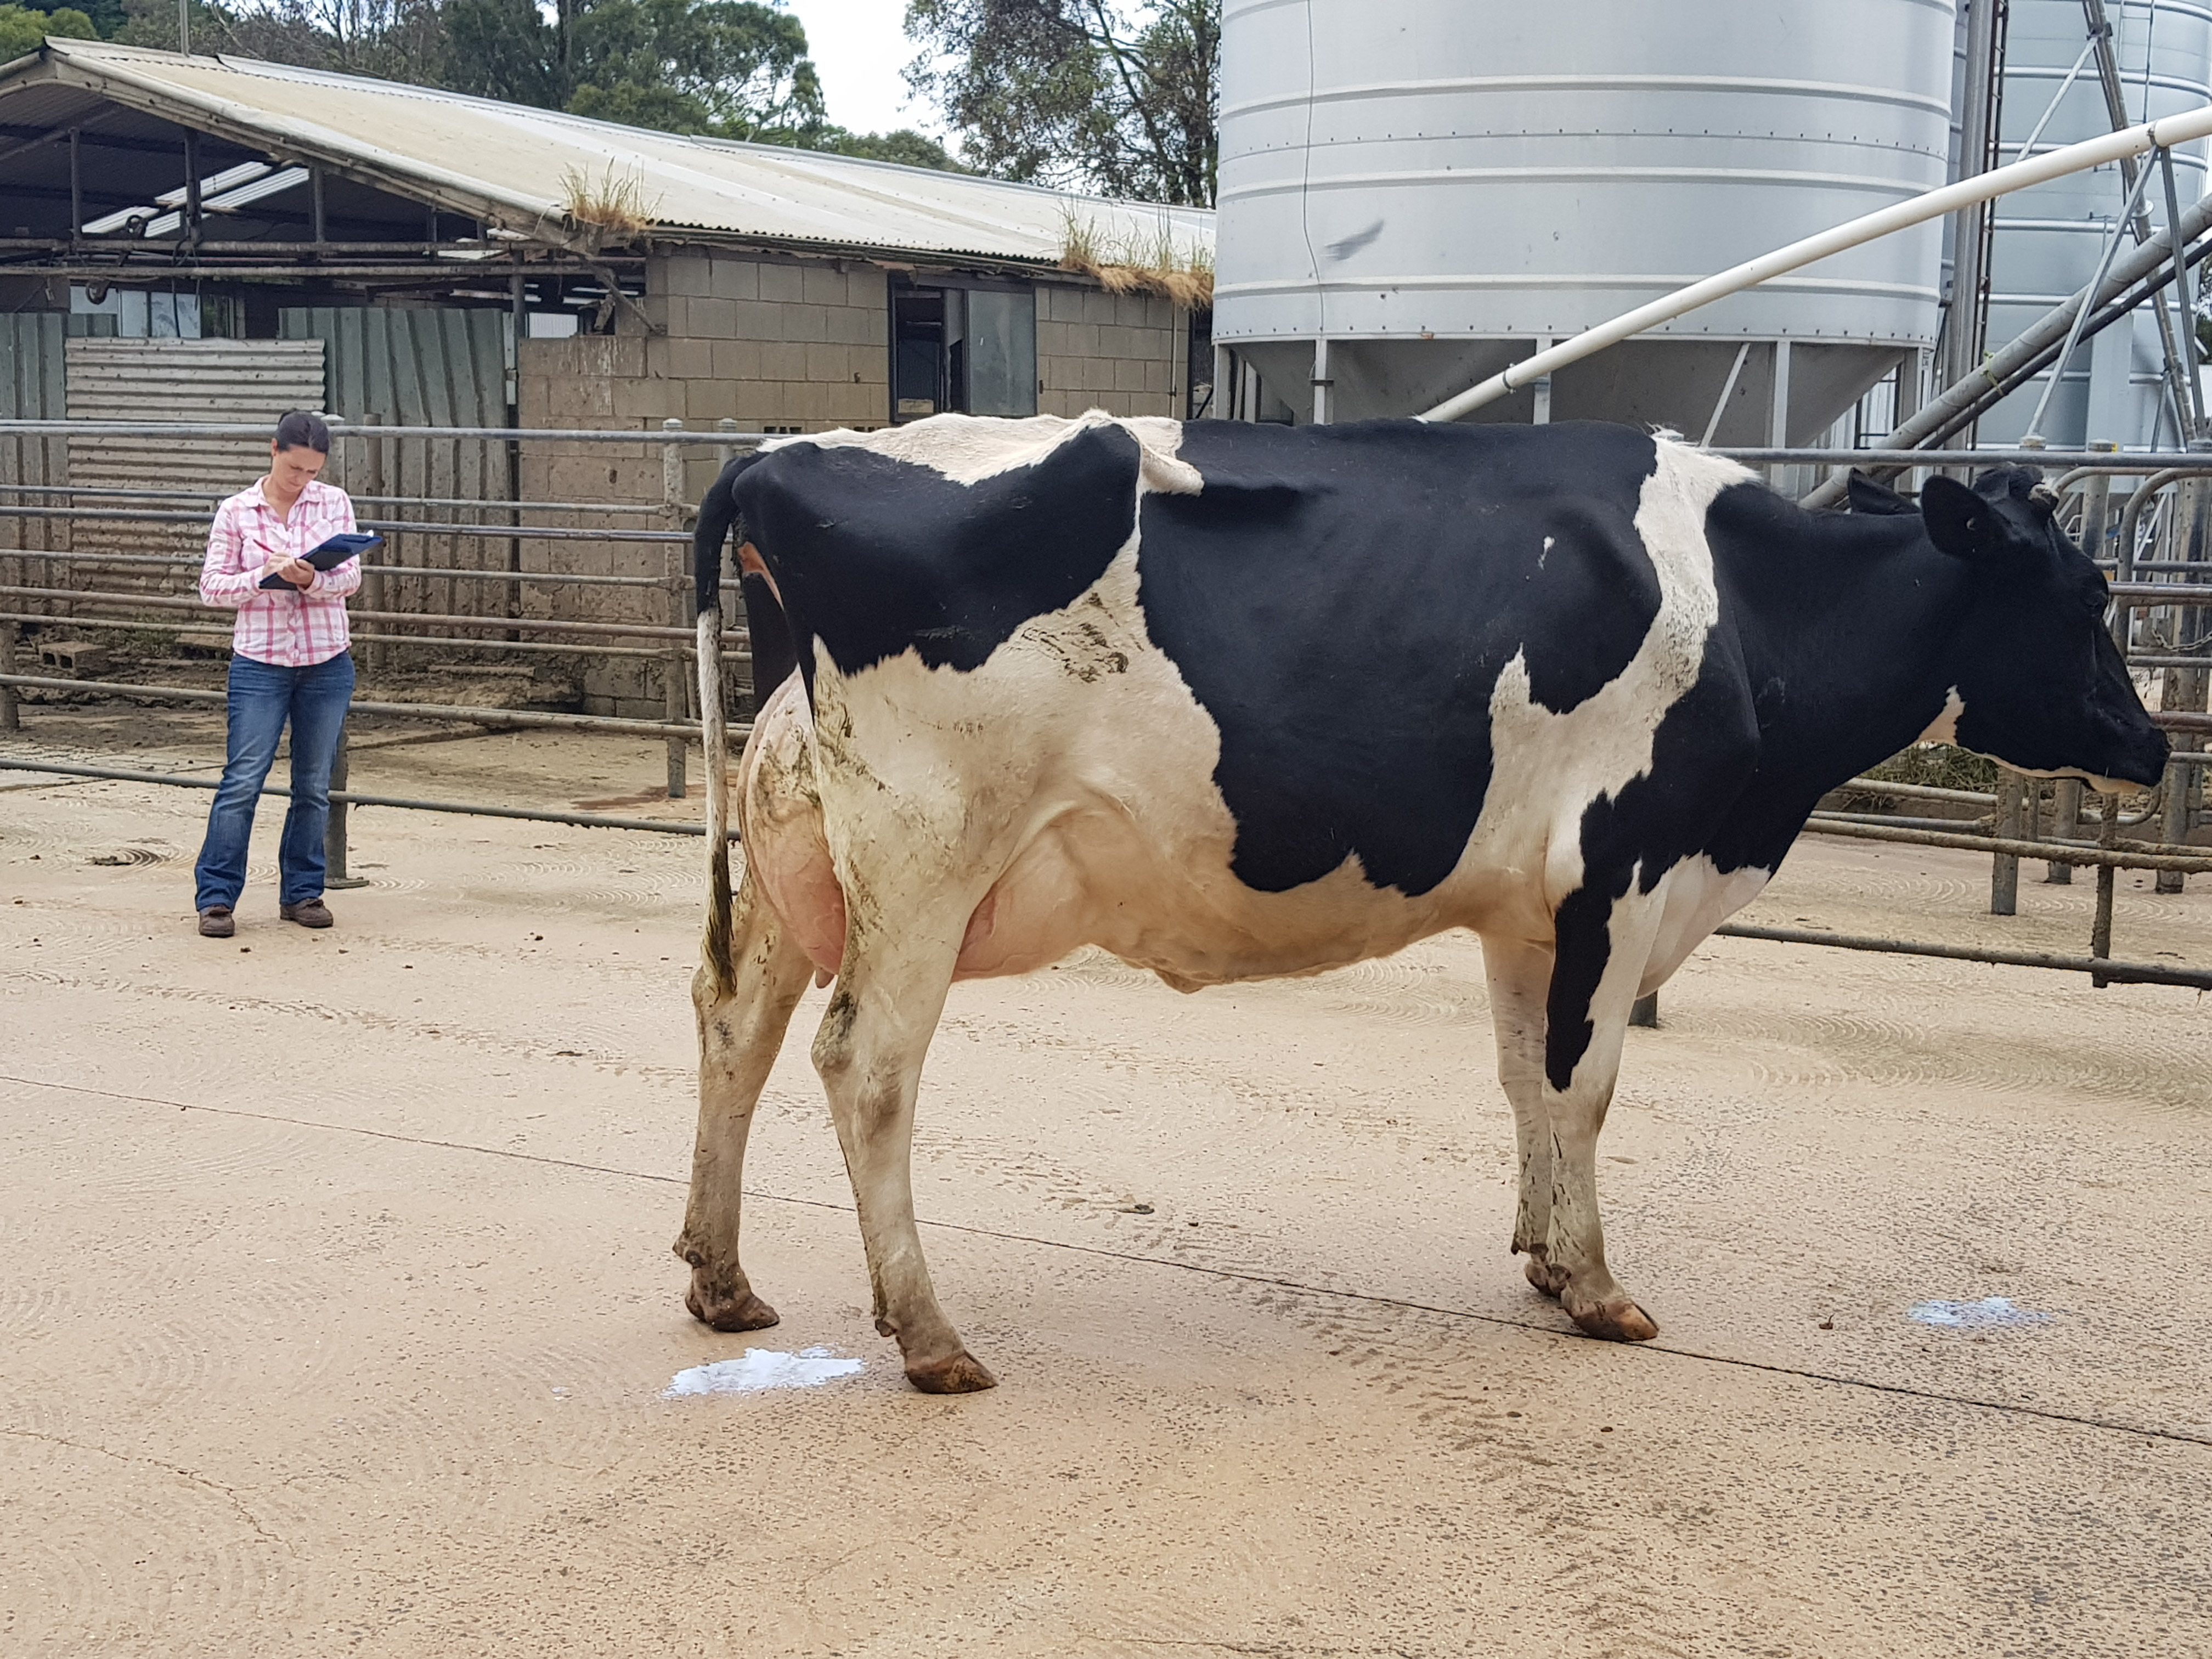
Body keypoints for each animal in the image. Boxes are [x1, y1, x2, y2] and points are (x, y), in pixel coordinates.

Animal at [676, 412, 2168, 1394]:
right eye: (2087, 592)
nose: (2155, 747)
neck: (1749, 612)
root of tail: (778, 456)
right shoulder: (1624, 872)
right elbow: (1587, 1085)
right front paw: (1600, 1288)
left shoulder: (1533, 908)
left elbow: (1529, 1080)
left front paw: (1543, 1256)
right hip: (928, 855)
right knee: (866, 1065)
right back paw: (930, 1337)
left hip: (795, 846)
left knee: (737, 1022)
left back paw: (721, 1278)